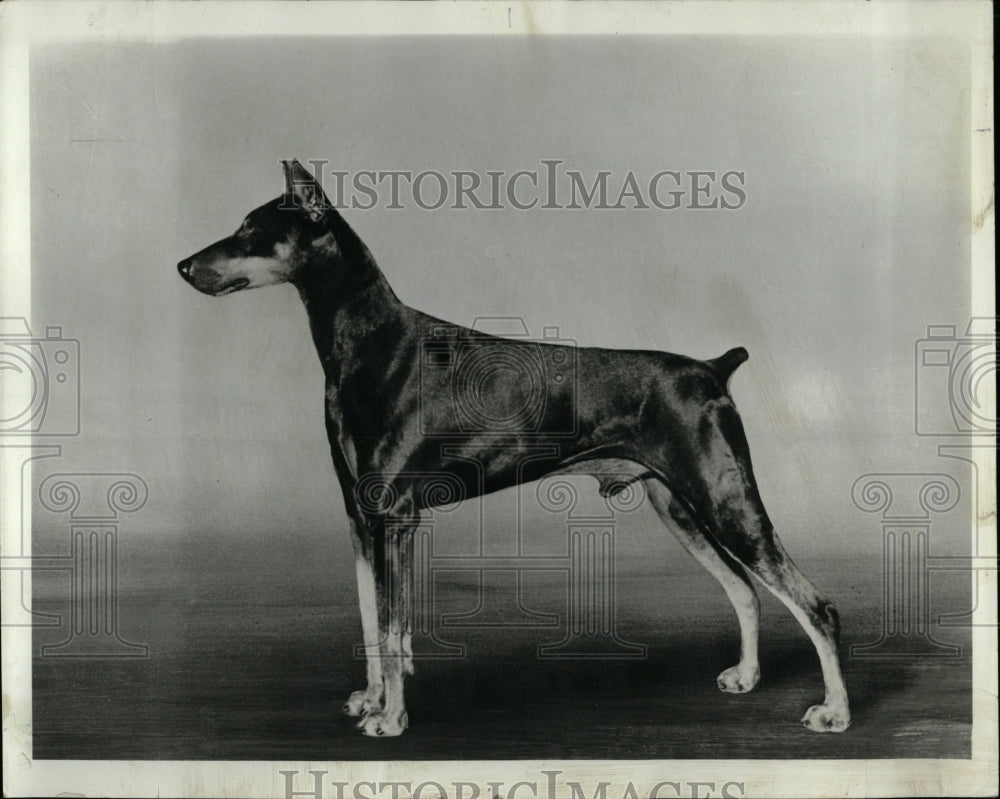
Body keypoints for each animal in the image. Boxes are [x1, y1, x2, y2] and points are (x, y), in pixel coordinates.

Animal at [180, 161, 852, 736]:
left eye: (251, 229)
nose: (184, 266)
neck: (366, 343)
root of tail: (713, 369)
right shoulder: (359, 516)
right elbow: (374, 620)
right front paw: (371, 699)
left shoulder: (395, 516)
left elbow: (393, 629)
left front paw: (391, 718)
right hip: (678, 504)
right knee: (743, 589)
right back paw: (747, 676)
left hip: (724, 496)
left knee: (815, 605)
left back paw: (835, 711)